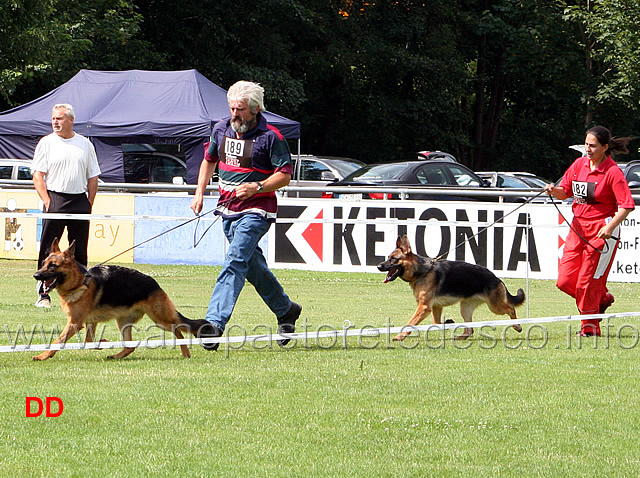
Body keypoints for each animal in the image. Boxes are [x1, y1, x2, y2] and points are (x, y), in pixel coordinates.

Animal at [33, 237, 212, 360]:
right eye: (43, 263)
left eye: (53, 265)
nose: (36, 275)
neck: (79, 283)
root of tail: (155, 283)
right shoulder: (89, 322)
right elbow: (89, 342)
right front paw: (102, 343)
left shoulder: (75, 323)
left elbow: (58, 340)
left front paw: (43, 355)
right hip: (123, 321)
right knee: (130, 346)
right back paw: (116, 355)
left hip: (160, 320)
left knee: (179, 331)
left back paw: (185, 352)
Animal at [378, 235, 524, 340]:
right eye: (388, 257)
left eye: (393, 259)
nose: (379, 266)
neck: (422, 271)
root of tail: (496, 278)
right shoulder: (435, 306)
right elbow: (436, 323)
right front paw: (448, 323)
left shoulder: (424, 307)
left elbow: (410, 323)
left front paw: (399, 336)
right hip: (465, 308)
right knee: (470, 329)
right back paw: (460, 337)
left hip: (495, 306)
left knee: (511, 309)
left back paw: (517, 325)